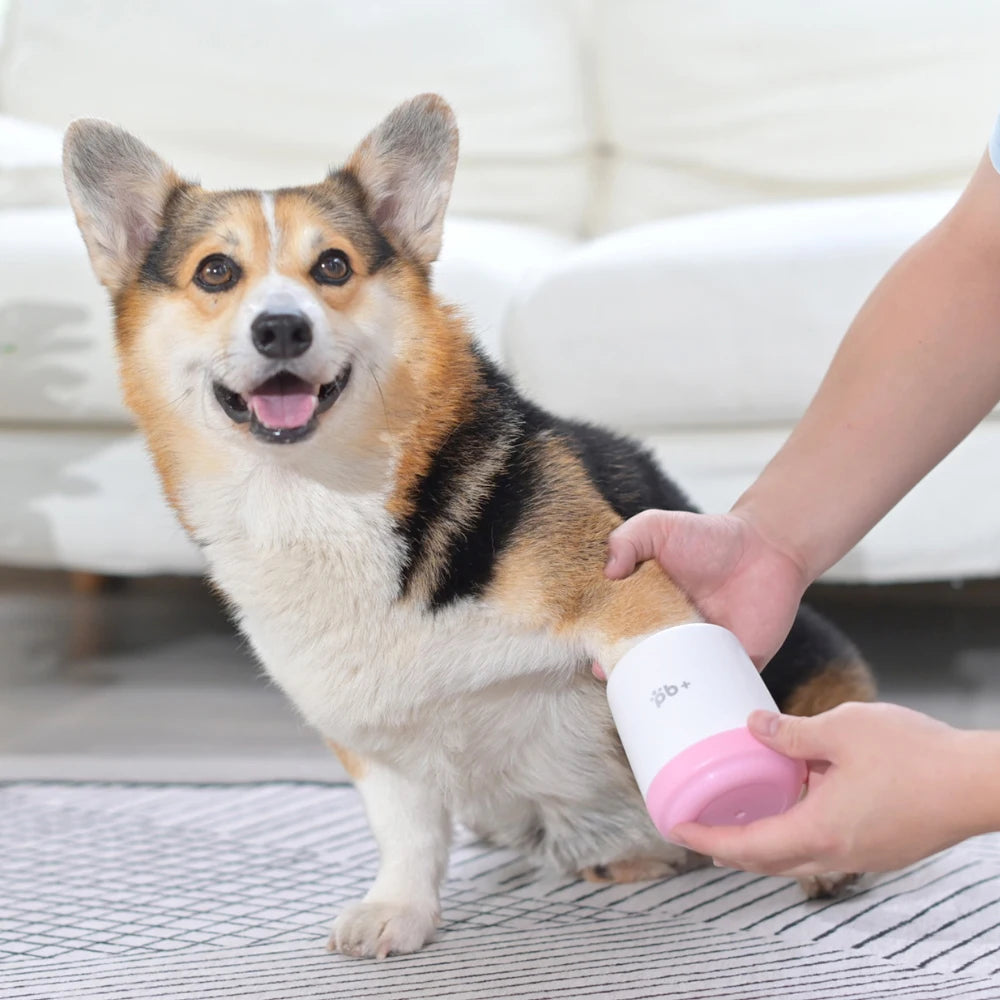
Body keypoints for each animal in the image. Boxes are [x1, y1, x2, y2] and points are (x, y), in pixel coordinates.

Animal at [64, 95, 876, 960]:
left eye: (333, 267)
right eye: (216, 271)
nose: (281, 328)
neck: (316, 496)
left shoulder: (629, 599)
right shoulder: (366, 732)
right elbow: (407, 830)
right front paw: (398, 910)